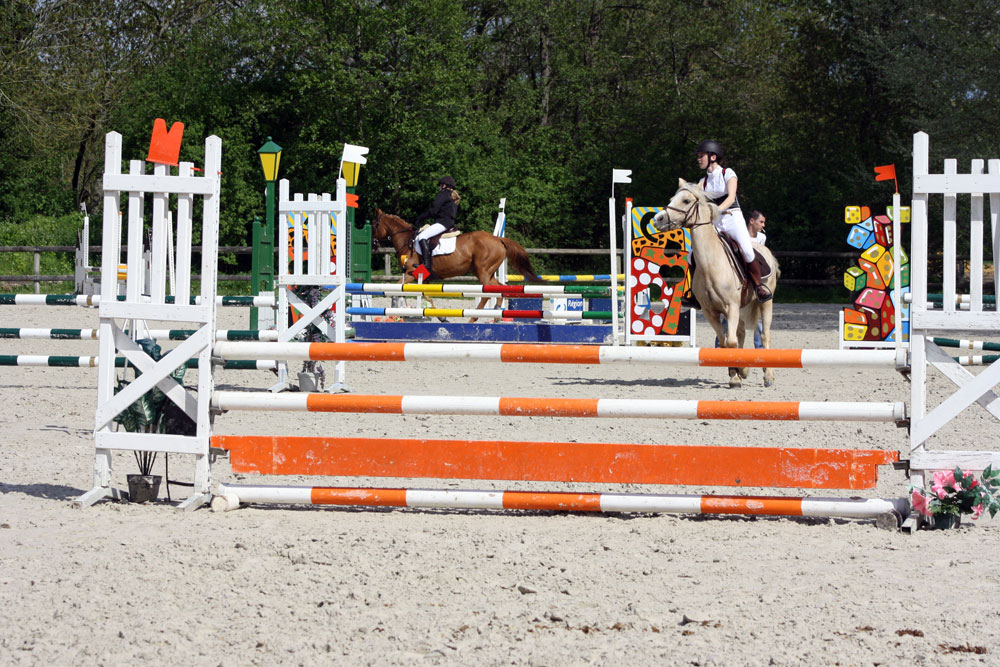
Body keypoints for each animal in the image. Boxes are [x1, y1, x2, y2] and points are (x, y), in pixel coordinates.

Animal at [370, 209, 540, 314]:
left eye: (373, 225)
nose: (374, 245)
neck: (407, 240)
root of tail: (498, 239)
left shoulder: (412, 273)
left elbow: (399, 286)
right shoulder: (423, 279)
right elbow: (427, 296)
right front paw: (438, 316)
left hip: (483, 272)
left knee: (487, 293)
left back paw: (475, 316)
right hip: (486, 272)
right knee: (498, 288)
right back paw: (497, 310)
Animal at [648, 180, 780, 388]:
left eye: (686, 201)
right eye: (672, 198)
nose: (658, 219)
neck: (711, 264)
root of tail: (766, 251)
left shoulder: (731, 307)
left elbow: (731, 342)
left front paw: (737, 375)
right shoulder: (711, 312)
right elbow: (725, 343)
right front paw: (736, 373)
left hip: (765, 302)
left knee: (765, 334)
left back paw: (768, 376)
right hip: (742, 307)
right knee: (741, 333)